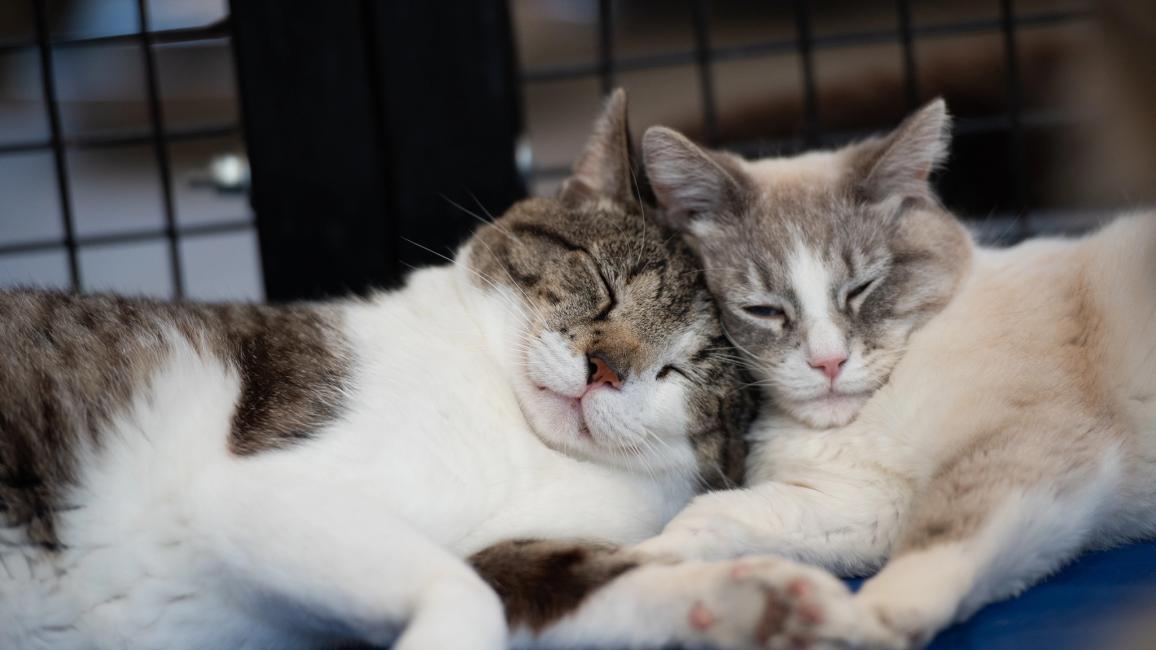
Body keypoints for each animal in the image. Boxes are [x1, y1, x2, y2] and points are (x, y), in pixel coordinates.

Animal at [0, 91, 804, 647]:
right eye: (601, 281)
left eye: (680, 371)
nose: (604, 369)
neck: (519, 438)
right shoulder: (254, 492)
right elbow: (465, 596)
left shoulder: (509, 555)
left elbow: (603, 581)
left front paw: (767, 602)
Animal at [624, 98, 1156, 643]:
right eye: (763, 310)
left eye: (862, 288)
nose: (828, 361)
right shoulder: (869, 502)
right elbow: (720, 513)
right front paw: (651, 568)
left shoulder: (1027, 445)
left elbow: (939, 541)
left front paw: (855, 619)